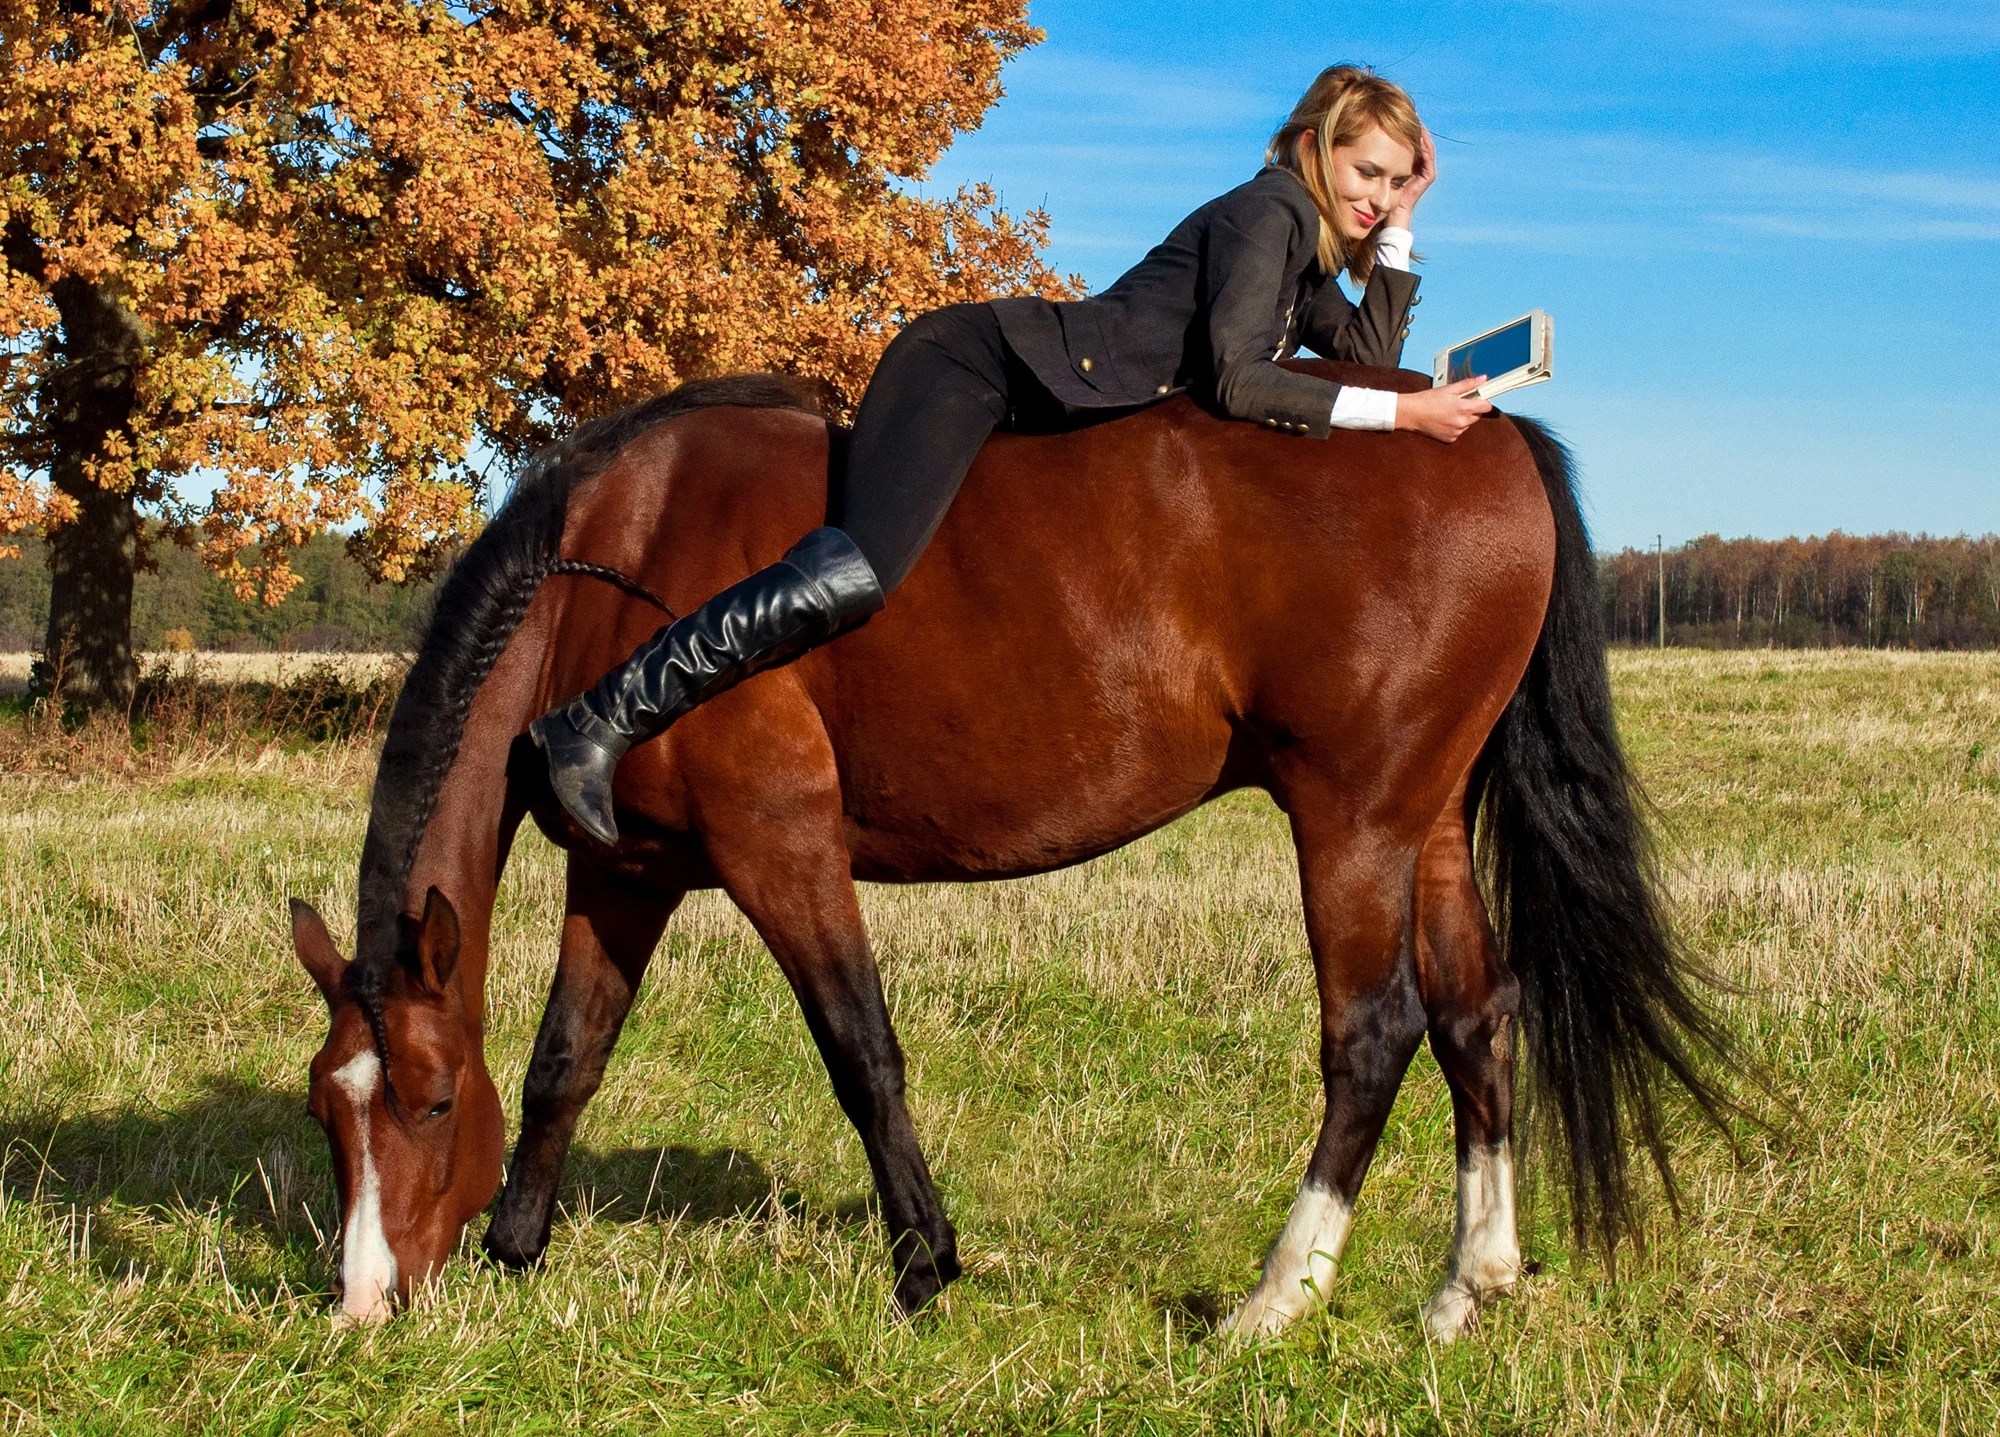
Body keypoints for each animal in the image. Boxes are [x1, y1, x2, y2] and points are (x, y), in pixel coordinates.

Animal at [289, 360, 1733, 1336]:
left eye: (428, 1102)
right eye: (326, 1111)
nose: (363, 1302)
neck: (626, 563)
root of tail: (1480, 428)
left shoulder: (779, 851)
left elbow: (861, 1055)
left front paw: (924, 1264)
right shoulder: (626, 873)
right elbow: (564, 1062)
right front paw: (519, 1246)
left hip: (1351, 824)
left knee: (1372, 1036)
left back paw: (1278, 1296)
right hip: (1420, 821)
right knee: (1477, 1014)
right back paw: (1464, 1284)